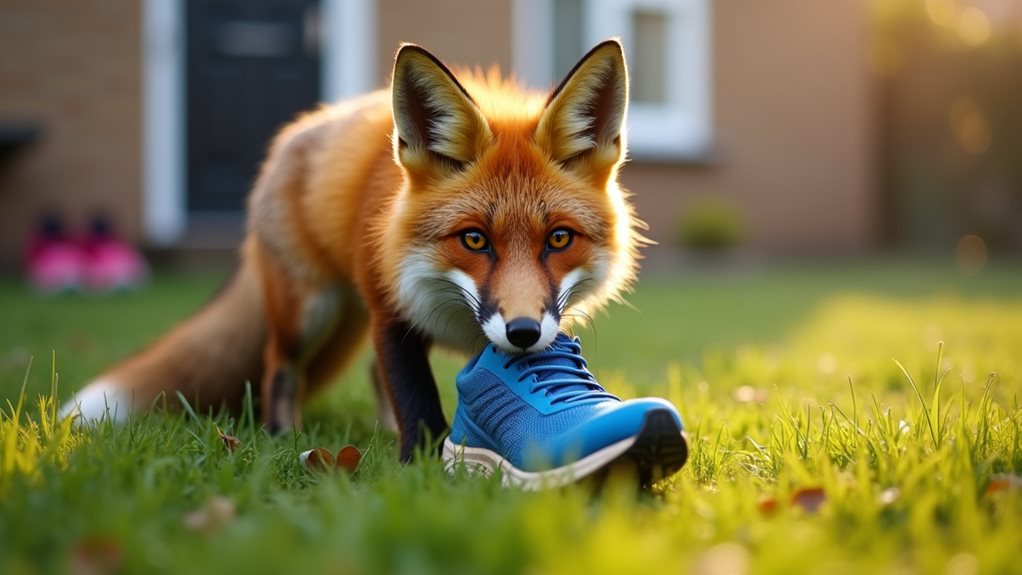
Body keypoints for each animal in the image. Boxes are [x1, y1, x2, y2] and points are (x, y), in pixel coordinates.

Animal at [61, 40, 643, 462]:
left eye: (559, 239)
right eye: (474, 239)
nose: (523, 333)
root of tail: (292, 138)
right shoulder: (392, 315)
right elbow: (418, 403)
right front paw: (423, 473)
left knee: (365, 375)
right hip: (308, 313)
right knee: (279, 368)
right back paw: (284, 438)